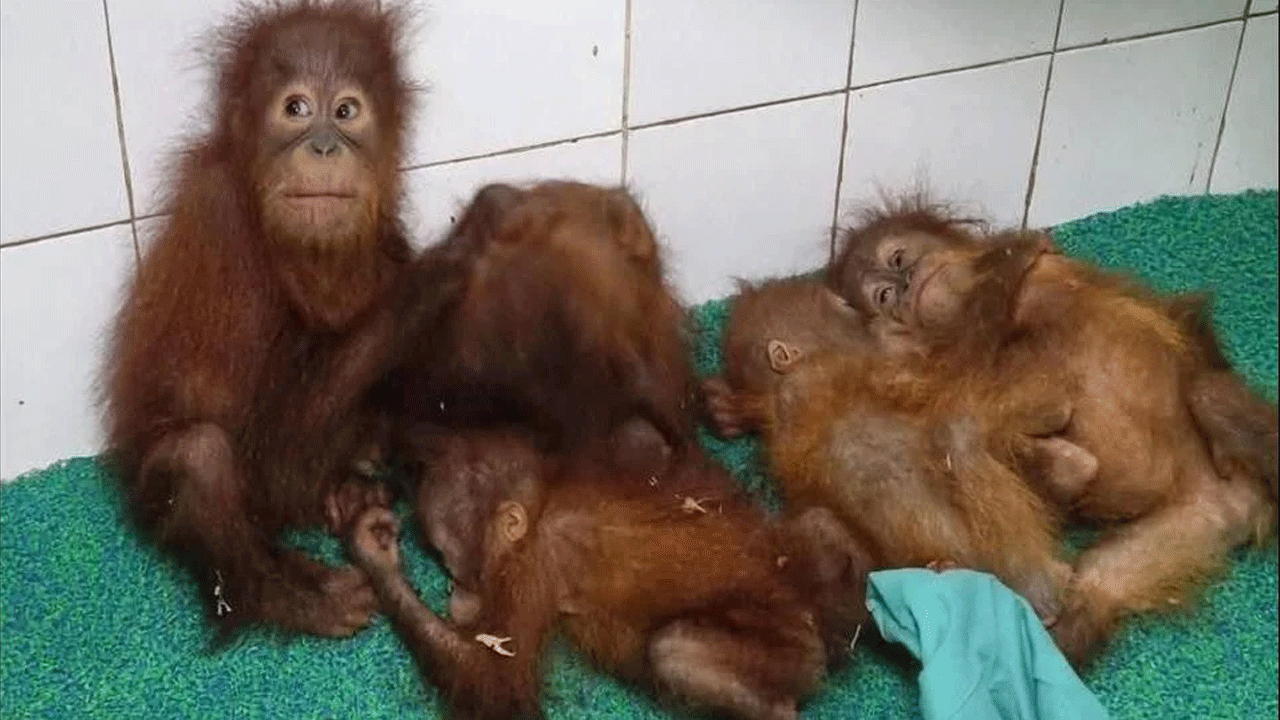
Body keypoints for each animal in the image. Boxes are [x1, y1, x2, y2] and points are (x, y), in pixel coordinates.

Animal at [103, 0, 422, 636]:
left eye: (345, 111)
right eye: (295, 109)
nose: (323, 146)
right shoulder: (220, 218)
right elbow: (233, 409)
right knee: (199, 455)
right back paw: (291, 594)